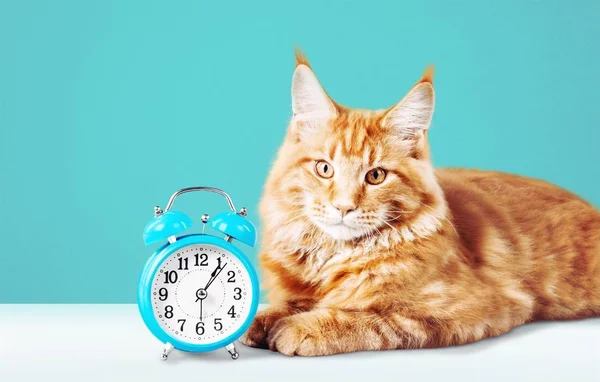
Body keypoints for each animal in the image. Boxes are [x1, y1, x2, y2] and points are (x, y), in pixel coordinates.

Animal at [239, 52, 600, 356]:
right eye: (324, 169)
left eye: (376, 176)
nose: (344, 207)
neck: (332, 256)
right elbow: (288, 302)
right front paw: (263, 319)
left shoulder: (473, 308)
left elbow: (371, 319)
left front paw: (302, 328)